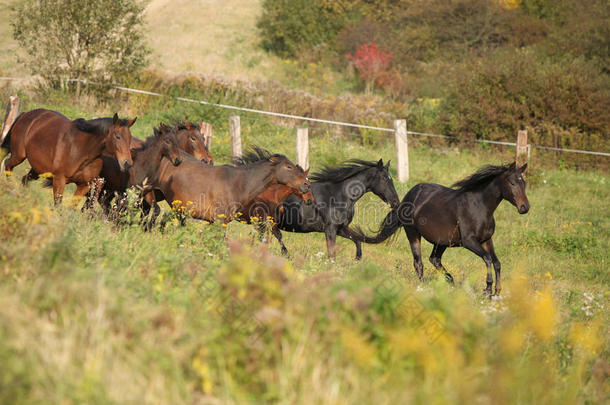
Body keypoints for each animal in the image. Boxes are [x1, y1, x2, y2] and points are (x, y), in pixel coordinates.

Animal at [0, 107, 134, 204]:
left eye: (130, 138)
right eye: (118, 136)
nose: (127, 163)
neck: (82, 150)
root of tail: (26, 114)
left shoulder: (83, 186)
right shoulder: (59, 180)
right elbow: (58, 205)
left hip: (38, 169)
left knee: (24, 179)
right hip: (19, 155)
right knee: (8, 165)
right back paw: (10, 188)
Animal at [356, 163, 528, 296]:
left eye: (524, 183)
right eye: (512, 183)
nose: (525, 207)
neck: (481, 207)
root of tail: (409, 195)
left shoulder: (486, 240)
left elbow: (496, 262)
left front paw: (497, 291)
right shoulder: (469, 241)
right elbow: (487, 258)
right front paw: (487, 289)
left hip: (442, 241)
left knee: (434, 259)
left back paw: (450, 281)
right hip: (413, 234)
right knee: (419, 263)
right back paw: (424, 286)